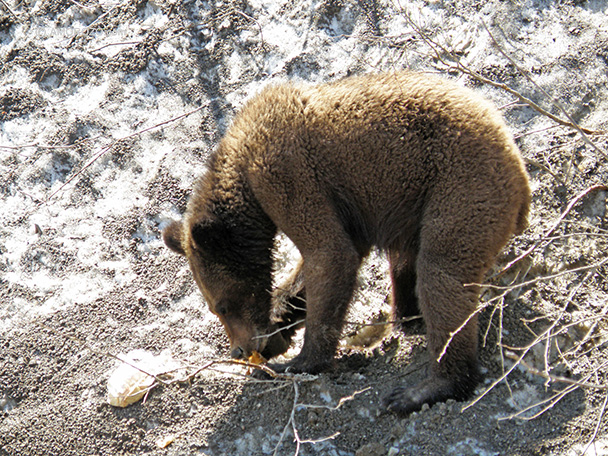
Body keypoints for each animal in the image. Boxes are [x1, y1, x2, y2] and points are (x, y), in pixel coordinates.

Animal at [164, 70, 528, 414]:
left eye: (221, 305)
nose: (239, 349)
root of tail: (518, 164)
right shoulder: (349, 207)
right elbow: (329, 261)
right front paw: (279, 326)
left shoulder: (287, 173)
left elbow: (329, 254)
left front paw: (299, 361)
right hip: (418, 200)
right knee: (407, 262)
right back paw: (407, 318)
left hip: (461, 183)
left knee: (441, 274)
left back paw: (423, 389)